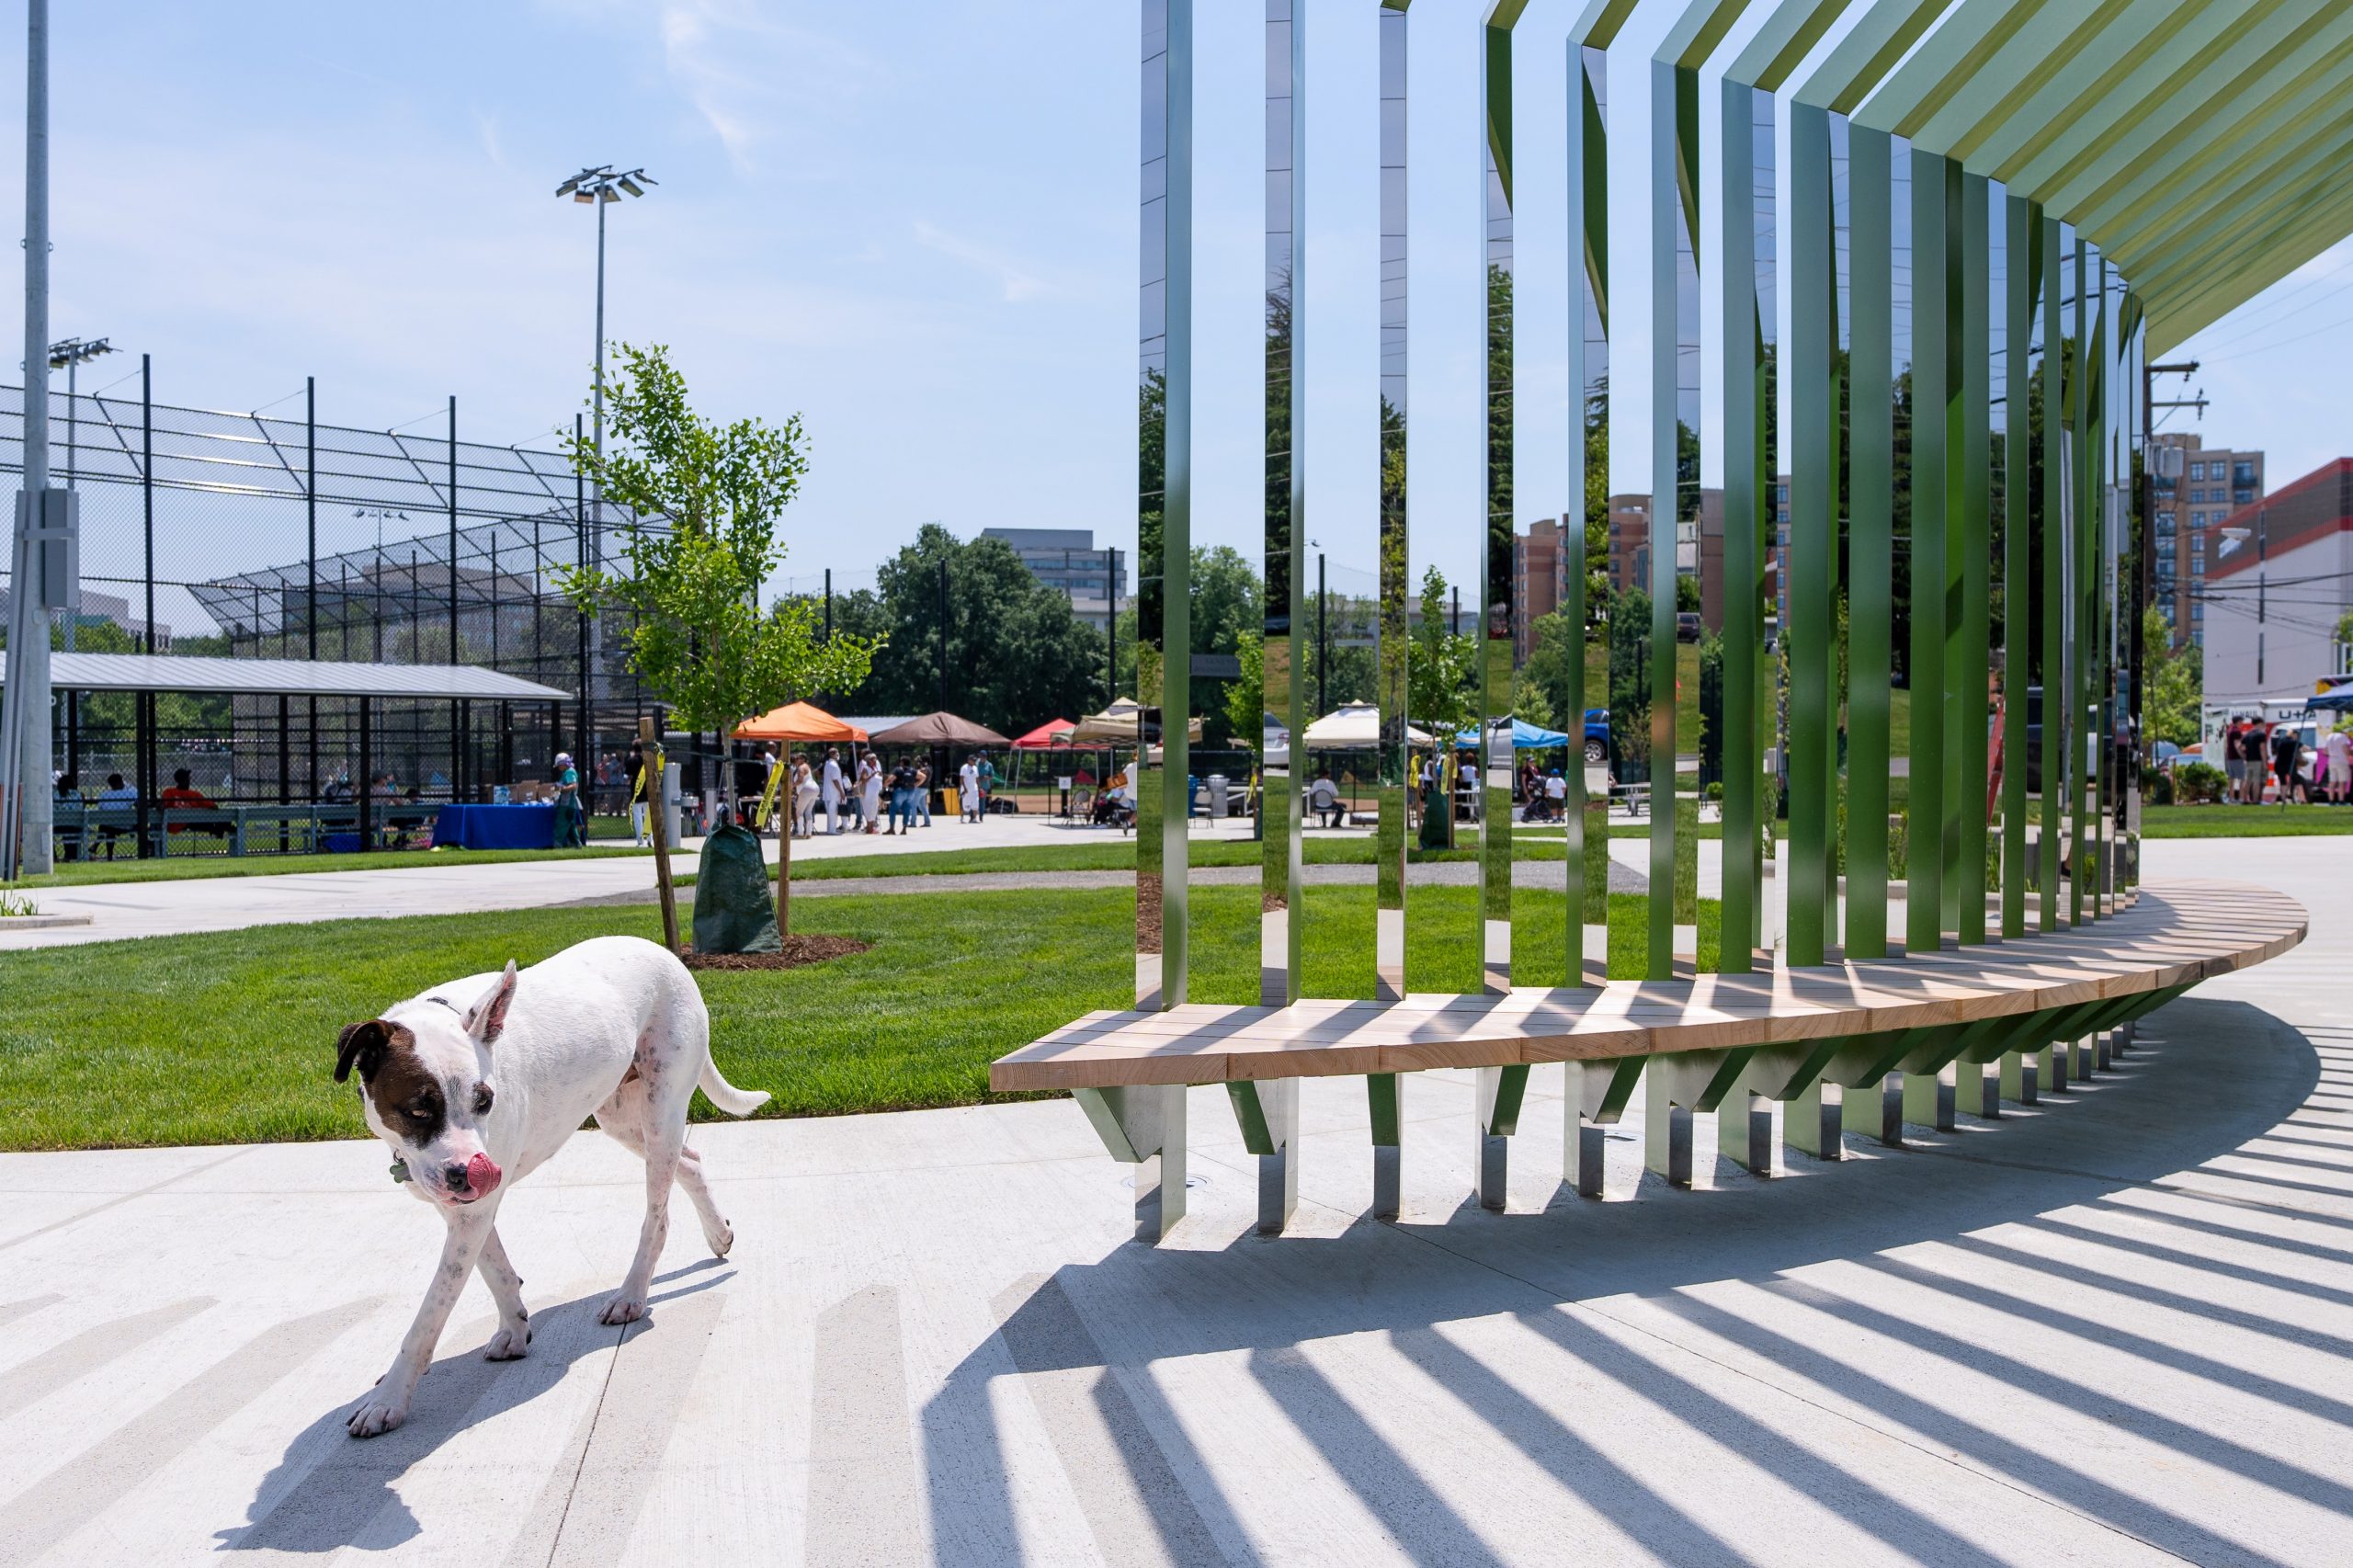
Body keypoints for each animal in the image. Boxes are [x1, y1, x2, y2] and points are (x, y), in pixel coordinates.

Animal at [336, 932, 771, 1431]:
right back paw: (718, 1233)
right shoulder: (466, 1210)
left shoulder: (472, 1209)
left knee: (657, 1218)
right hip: (620, 1117)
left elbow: (430, 1315)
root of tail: (664, 952)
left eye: (485, 1101)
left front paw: (388, 1398)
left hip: (660, 1111)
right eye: (418, 1109)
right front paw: (514, 1328)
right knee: (692, 1160)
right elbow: (495, 1269)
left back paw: (631, 1294)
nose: (471, 1172)